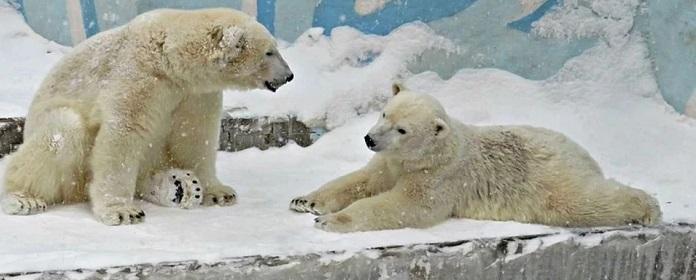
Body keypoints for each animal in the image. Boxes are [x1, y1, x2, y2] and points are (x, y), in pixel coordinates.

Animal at [0, 8, 294, 225]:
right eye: (269, 51)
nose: (289, 75)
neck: (170, 58)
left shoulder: (195, 94)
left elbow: (196, 137)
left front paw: (219, 192)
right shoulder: (139, 76)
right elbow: (123, 134)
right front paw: (122, 211)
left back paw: (179, 186)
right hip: (55, 132)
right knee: (62, 133)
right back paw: (22, 198)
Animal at [290, 85, 664, 232]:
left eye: (403, 129)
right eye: (384, 113)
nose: (369, 138)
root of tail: (581, 151)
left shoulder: (439, 176)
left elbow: (405, 206)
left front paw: (330, 221)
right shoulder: (390, 162)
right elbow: (363, 180)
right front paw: (305, 201)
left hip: (548, 178)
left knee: (582, 200)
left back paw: (648, 207)